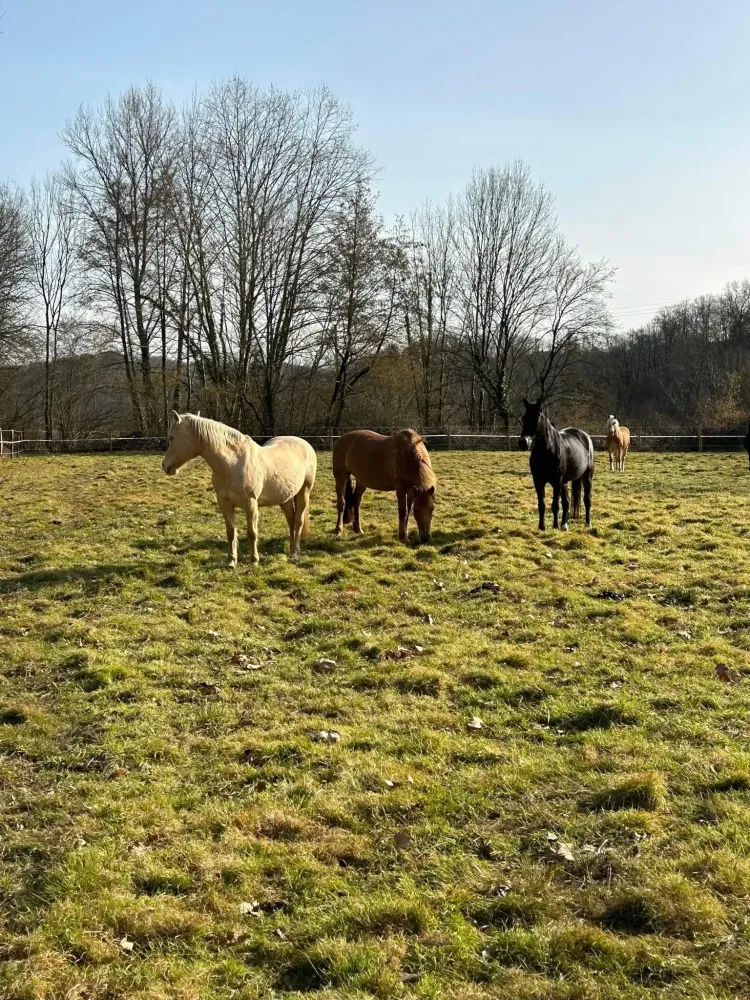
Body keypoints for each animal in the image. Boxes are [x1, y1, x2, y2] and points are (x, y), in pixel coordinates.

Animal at [162, 412, 317, 564]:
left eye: (171, 437)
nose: (165, 466)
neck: (233, 464)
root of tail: (305, 444)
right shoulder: (225, 503)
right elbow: (231, 532)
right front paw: (231, 561)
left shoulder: (251, 504)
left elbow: (252, 532)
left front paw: (254, 560)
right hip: (285, 497)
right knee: (291, 521)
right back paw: (290, 549)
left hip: (304, 491)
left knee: (298, 521)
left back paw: (294, 553)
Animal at [518, 397, 594, 531]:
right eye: (524, 418)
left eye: (537, 418)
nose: (523, 442)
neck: (547, 450)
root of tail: (584, 436)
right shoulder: (538, 481)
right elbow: (542, 504)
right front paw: (542, 527)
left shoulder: (556, 481)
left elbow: (555, 505)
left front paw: (555, 526)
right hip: (565, 481)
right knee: (567, 502)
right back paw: (564, 525)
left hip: (586, 477)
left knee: (587, 500)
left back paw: (588, 524)